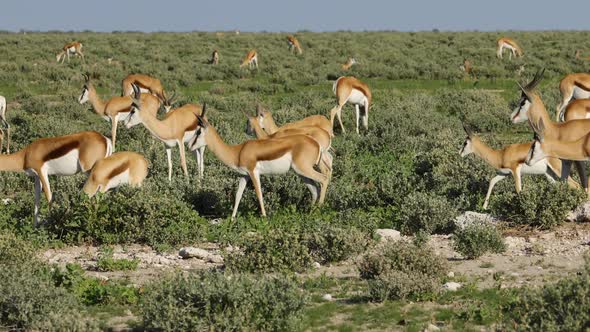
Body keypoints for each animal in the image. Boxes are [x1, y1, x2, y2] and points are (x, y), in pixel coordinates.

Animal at [190, 105, 330, 219]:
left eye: (198, 131)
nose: (190, 146)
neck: (238, 152)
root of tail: (316, 143)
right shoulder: (244, 175)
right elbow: (238, 194)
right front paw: (232, 219)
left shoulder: (254, 173)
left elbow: (259, 194)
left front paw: (264, 216)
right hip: (301, 173)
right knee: (314, 189)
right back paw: (309, 211)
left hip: (304, 169)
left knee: (323, 179)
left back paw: (319, 209)